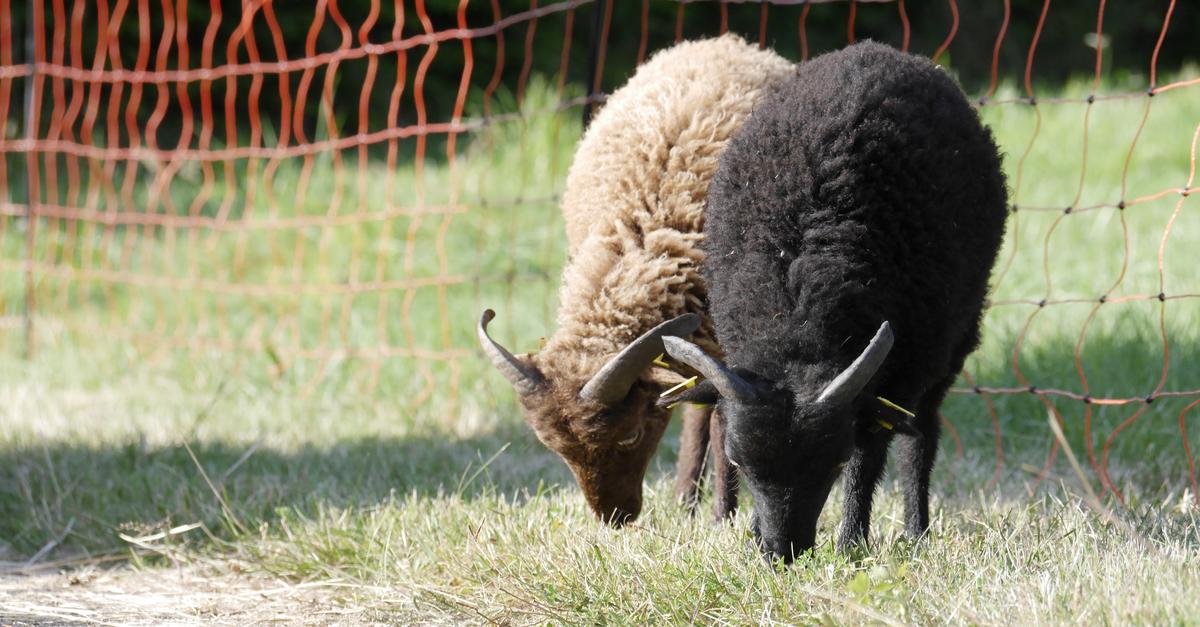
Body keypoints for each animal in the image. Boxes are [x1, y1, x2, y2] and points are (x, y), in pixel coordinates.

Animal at [478, 35, 794, 525]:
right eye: (555, 448)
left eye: (630, 435)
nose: (616, 518)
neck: (648, 241)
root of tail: (724, 42)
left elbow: (726, 421)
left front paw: (723, 518)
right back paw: (685, 501)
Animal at [659, 41, 1008, 561]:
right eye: (738, 460)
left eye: (834, 459)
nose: (782, 553)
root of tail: (879, 50)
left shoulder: (896, 377)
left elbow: (871, 458)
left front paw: (850, 542)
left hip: (951, 343)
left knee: (921, 438)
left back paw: (917, 530)